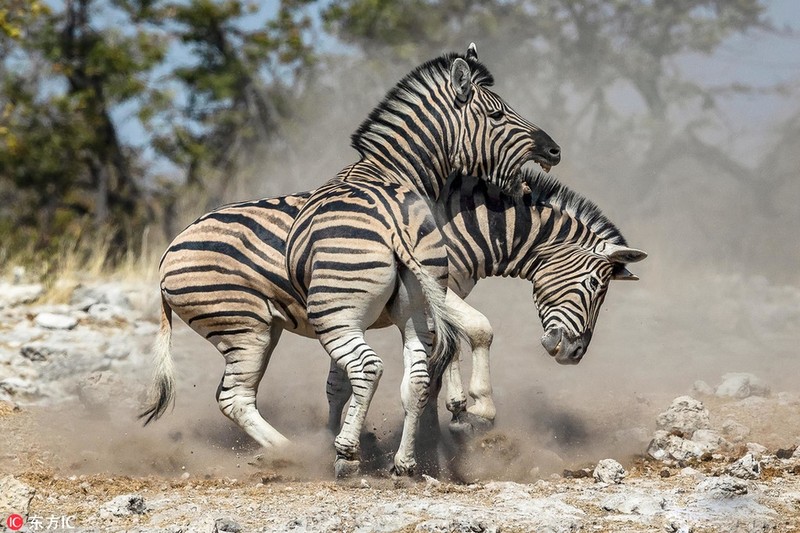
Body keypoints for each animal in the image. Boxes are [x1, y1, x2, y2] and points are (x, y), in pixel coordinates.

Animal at [139, 45, 564, 476]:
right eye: (496, 115)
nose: (554, 150)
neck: (393, 174)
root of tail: (169, 251)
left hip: (272, 326)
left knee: (254, 394)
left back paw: (327, 455)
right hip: (257, 325)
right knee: (252, 394)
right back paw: (334, 455)